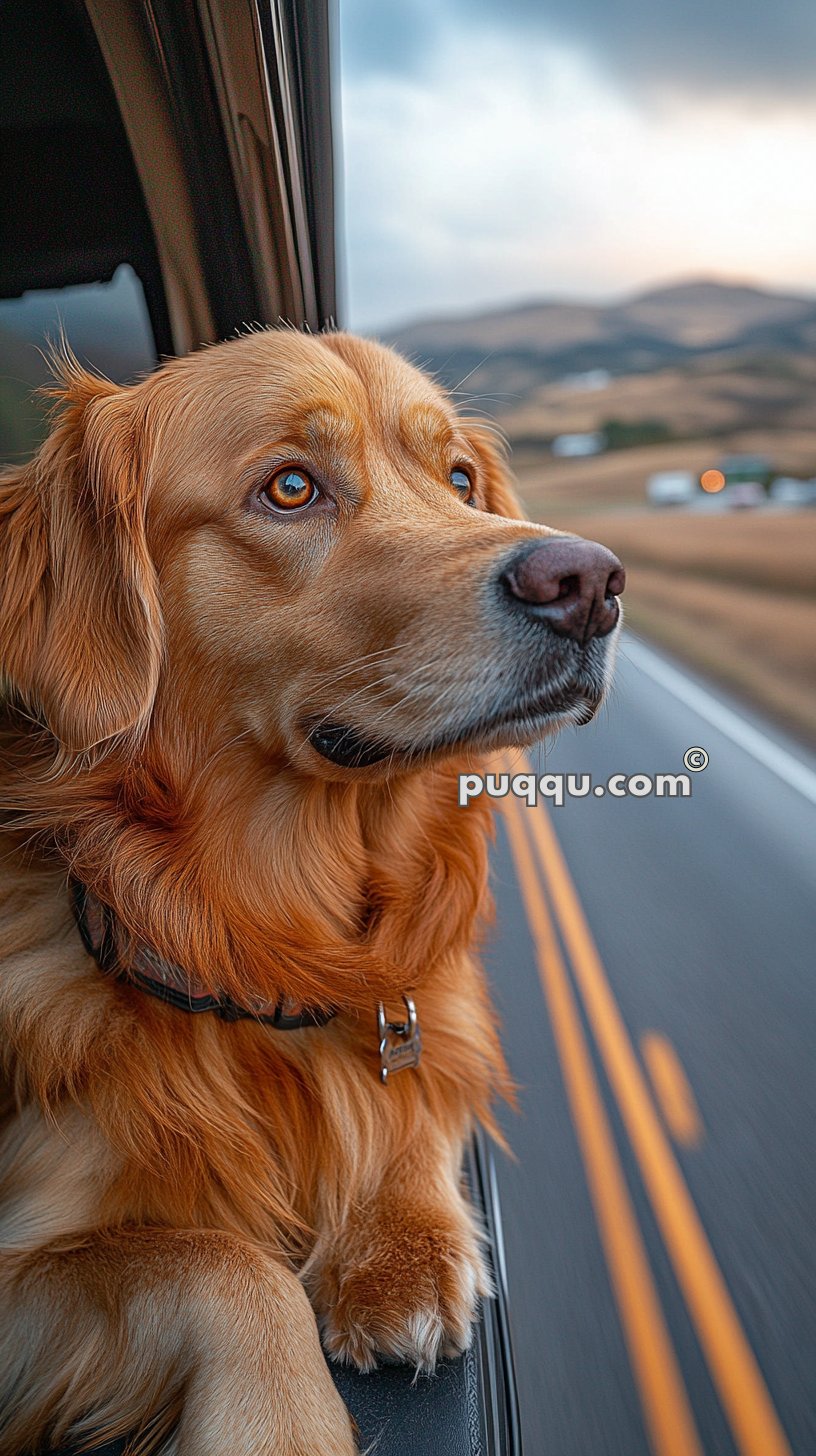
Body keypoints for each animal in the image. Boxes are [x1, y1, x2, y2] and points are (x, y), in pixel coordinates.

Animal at [0, 333, 620, 1456]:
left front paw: (398, 1246)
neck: (255, 943)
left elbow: (411, 1092)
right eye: (290, 487)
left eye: (458, 479)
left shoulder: (420, 1006)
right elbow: (222, 1263)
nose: (588, 580)